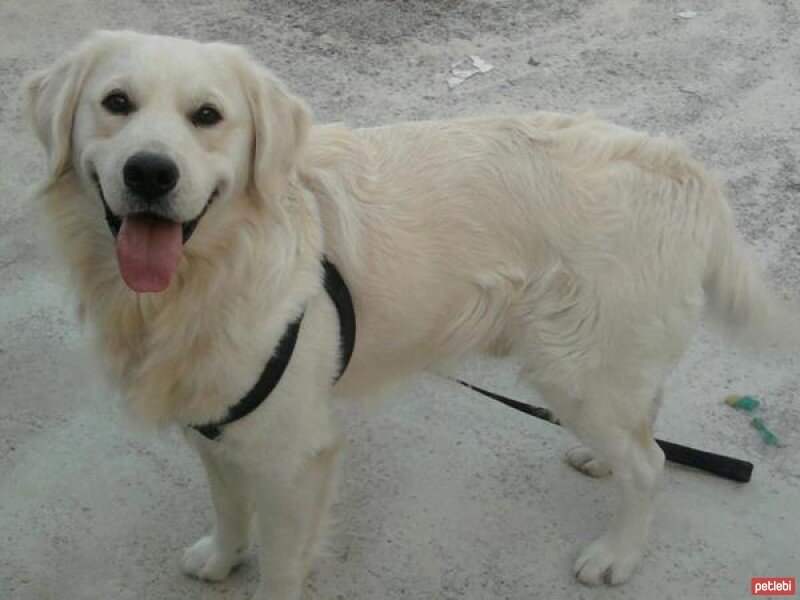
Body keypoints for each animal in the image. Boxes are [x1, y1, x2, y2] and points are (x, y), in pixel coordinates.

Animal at [28, 29, 796, 600]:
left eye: (208, 117)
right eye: (116, 103)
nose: (150, 172)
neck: (213, 269)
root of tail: (679, 164)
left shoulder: (293, 456)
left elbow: (279, 567)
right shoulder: (218, 421)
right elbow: (226, 503)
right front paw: (221, 557)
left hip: (576, 370)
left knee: (651, 464)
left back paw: (618, 553)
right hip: (607, 366)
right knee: (646, 420)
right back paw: (598, 460)